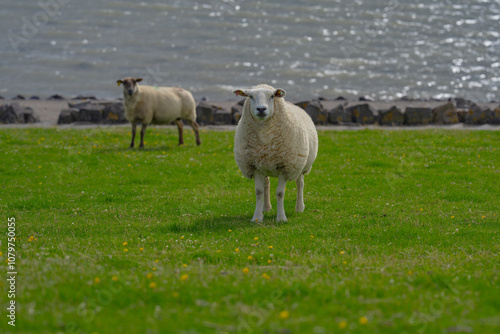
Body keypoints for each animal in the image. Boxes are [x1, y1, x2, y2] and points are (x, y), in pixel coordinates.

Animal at [232, 83, 318, 222]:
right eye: (250, 96)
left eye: (272, 96)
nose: (261, 109)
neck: (264, 140)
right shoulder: (254, 166)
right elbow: (259, 192)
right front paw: (257, 217)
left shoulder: (285, 167)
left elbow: (280, 193)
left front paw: (281, 218)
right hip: (265, 164)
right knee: (266, 184)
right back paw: (266, 208)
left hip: (300, 165)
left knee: (300, 184)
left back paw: (299, 208)